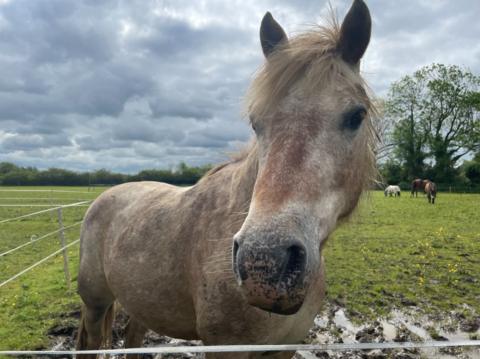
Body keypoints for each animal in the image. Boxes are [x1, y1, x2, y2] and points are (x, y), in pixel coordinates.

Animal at [76, 1, 376, 358]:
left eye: (356, 115)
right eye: (256, 122)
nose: (265, 265)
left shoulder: (287, 347)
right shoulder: (225, 346)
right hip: (95, 304)